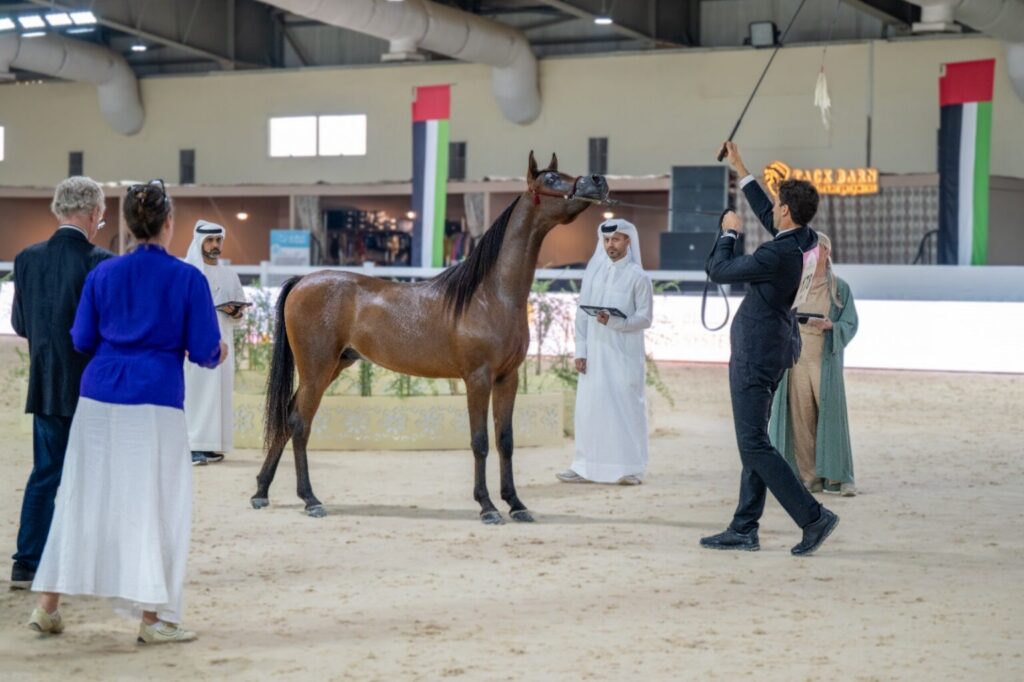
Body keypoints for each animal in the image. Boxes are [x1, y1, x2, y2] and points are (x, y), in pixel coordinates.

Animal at [252, 152, 608, 523]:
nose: (598, 181)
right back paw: (310, 500)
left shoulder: (507, 378)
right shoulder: (477, 378)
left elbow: (505, 440)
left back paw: (261, 492)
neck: (491, 294)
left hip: (333, 366)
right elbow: (480, 441)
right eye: (551, 179)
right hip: (316, 369)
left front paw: (516, 504)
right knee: (299, 423)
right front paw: (487, 506)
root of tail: (302, 281)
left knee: (287, 419)